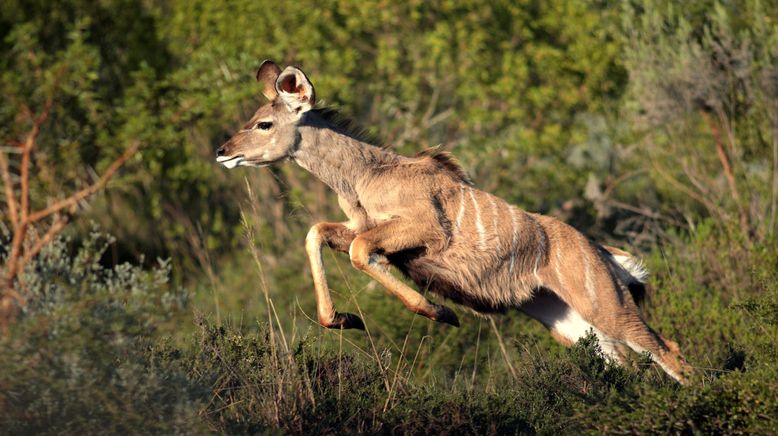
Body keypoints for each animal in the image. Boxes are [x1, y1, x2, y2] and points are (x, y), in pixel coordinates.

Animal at [214, 60, 692, 382]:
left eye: (264, 123)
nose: (222, 151)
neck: (367, 175)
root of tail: (604, 255)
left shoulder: (424, 230)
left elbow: (360, 251)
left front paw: (439, 312)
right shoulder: (360, 228)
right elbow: (318, 234)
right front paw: (344, 319)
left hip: (605, 305)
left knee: (669, 351)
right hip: (568, 321)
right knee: (627, 362)